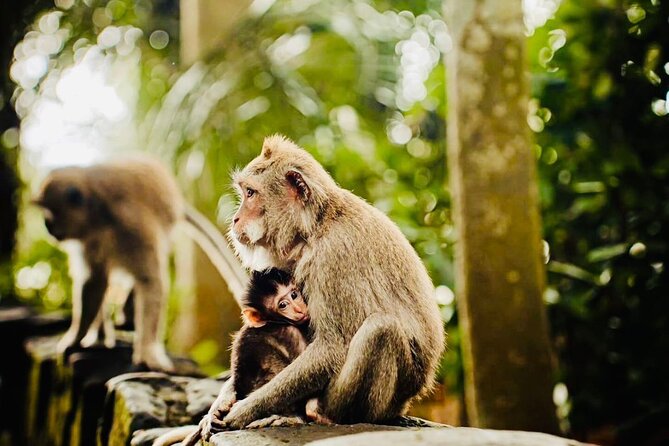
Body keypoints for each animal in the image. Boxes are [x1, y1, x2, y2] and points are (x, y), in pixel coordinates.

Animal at [33, 156, 247, 371]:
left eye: (50, 213)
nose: (46, 225)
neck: (99, 214)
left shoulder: (132, 224)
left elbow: (149, 281)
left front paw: (148, 353)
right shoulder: (88, 239)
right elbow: (94, 281)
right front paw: (76, 338)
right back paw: (102, 333)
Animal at [192, 134, 445, 437]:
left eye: (250, 193)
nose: (235, 219)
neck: (315, 226)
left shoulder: (332, 257)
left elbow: (331, 348)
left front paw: (243, 411)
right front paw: (221, 403)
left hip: (381, 404)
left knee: (382, 329)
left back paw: (321, 414)